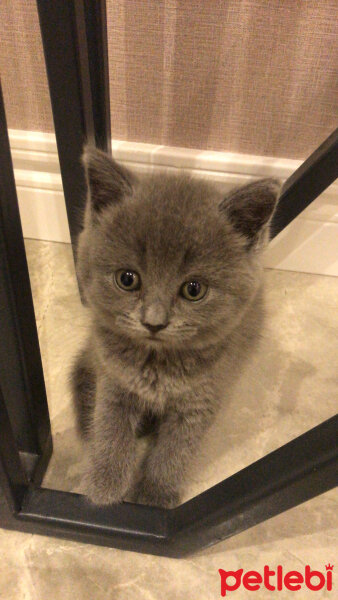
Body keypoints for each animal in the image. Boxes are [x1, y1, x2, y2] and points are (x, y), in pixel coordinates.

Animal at [70, 145, 280, 506]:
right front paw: (104, 485)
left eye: (193, 289)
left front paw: (155, 495)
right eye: (127, 279)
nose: (154, 322)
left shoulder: (204, 396)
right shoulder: (113, 378)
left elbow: (178, 448)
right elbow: (110, 426)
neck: (158, 363)